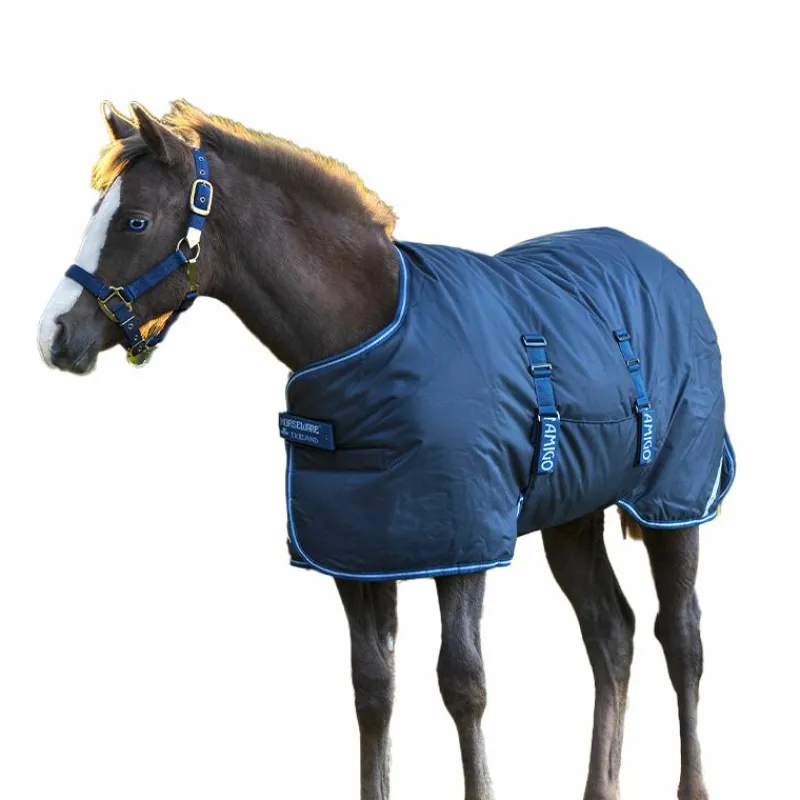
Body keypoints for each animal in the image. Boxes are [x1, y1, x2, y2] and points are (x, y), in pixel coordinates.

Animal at [38, 100, 734, 800]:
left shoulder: (464, 543)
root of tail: (667, 269)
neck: (373, 338)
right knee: (611, 633)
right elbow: (372, 688)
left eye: (134, 220)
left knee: (681, 636)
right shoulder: (359, 552)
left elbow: (464, 683)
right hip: (572, 515)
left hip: (674, 508)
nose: (54, 335)